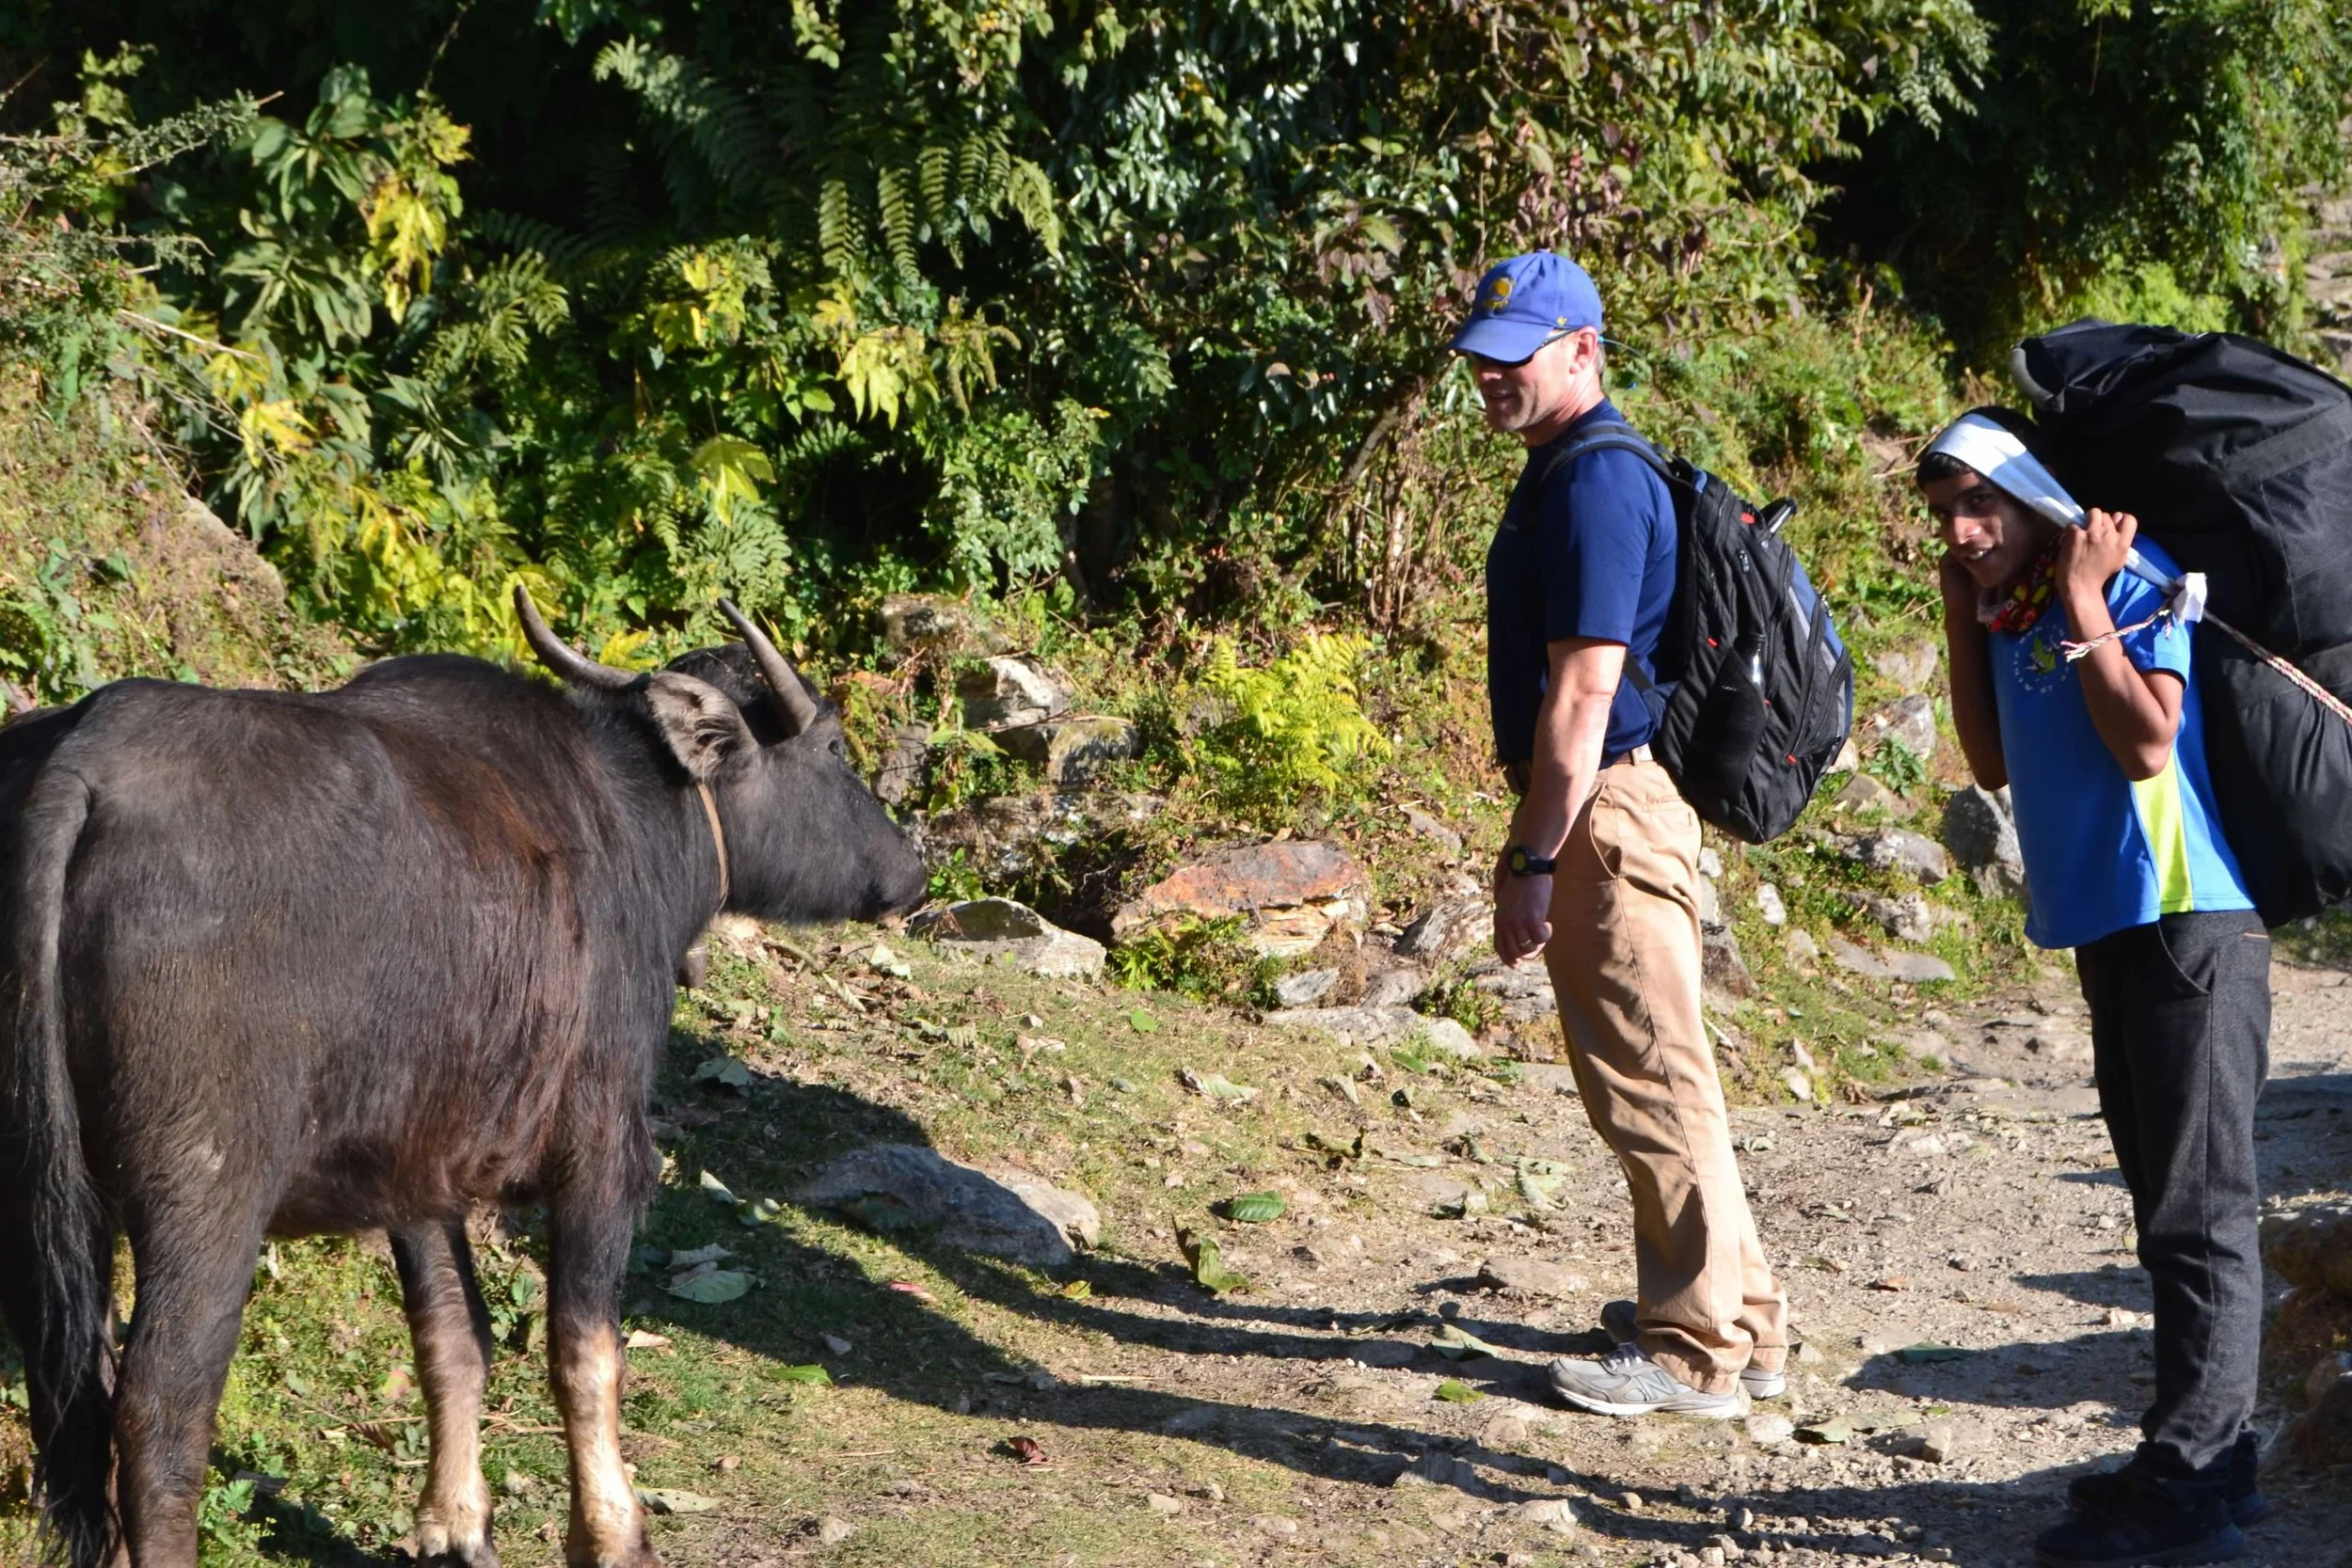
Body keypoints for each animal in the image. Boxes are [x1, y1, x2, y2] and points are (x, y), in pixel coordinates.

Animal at [0, 591, 928, 1568]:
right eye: (835, 746)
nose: (912, 870)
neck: (630, 815)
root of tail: (79, 768)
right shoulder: (605, 1150)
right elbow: (584, 1351)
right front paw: (611, 1531)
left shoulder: (419, 1169)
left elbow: (452, 1336)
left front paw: (454, 1524)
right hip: (205, 1192)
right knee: (160, 1408)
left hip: (47, 1195)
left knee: (75, 1391)